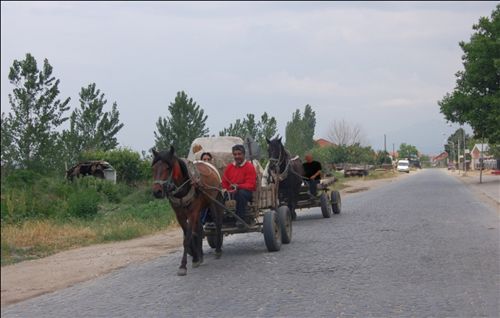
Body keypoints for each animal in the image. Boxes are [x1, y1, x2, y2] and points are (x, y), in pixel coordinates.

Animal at [151, 147, 224, 276]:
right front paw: (195, 257)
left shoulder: (192, 213)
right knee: (199, 229)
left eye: (168, 168)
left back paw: (218, 250)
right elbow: (188, 236)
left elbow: (187, 237)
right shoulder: (179, 215)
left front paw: (183, 265)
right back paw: (201, 255)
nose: (157, 191)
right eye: (154, 168)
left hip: (215, 200)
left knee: (218, 222)